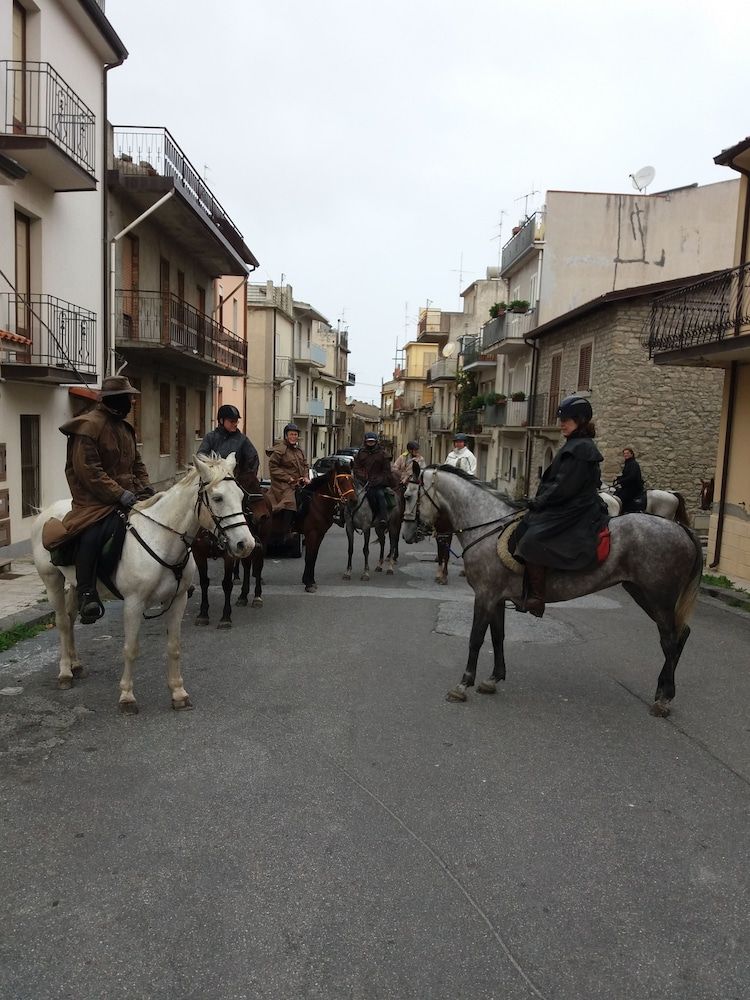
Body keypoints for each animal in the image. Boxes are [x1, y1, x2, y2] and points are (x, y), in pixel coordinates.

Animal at [31, 453, 254, 712]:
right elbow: (131, 649)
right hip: (52, 580)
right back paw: (65, 672)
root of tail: (46, 512)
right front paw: (127, 696)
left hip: (77, 583)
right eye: (218, 498)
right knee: (63, 623)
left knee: (70, 616)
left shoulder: (177, 601)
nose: (245, 544)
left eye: (240, 496)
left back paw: (76, 664)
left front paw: (178, 693)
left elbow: (174, 646)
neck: (161, 540)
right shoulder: (133, 604)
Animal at [191, 478, 272, 628]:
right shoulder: (198, 554)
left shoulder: (229, 555)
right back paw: (243, 596)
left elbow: (227, 584)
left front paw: (225, 617)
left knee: (258, 567)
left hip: (259, 544)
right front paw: (203, 614)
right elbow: (204, 582)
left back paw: (257, 597)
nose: (262, 515)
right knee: (246, 565)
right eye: (217, 498)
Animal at [298, 463, 356, 593]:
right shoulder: (311, 534)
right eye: (340, 481)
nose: (353, 501)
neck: (316, 504)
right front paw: (308, 583)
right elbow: (309, 557)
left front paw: (311, 581)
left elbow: (314, 556)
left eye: (352, 480)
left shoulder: (320, 534)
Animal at [402, 465, 703, 718]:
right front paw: (493, 678)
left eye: (407, 495)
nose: (407, 534)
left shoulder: (485, 595)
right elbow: (498, 637)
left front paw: (463, 684)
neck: (487, 525)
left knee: (669, 640)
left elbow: (476, 639)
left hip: (659, 597)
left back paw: (664, 698)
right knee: (681, 634)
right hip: (642, 593)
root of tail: (681, 529)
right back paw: (662, 690)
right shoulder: (496, 597)